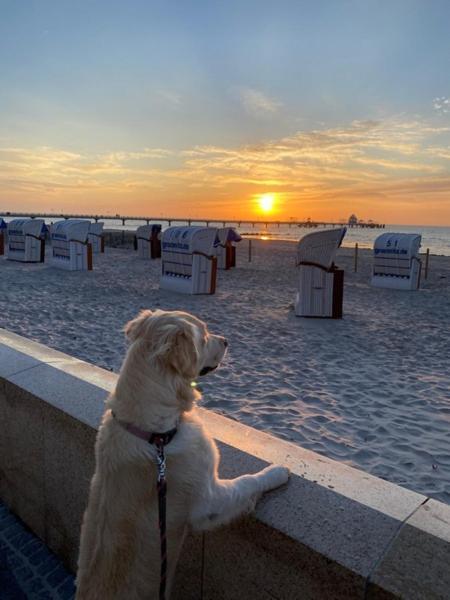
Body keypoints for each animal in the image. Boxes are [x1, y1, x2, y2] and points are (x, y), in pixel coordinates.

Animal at [76, 312, 290, 596]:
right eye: (205, 335)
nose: (226, 340)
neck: (153, 433)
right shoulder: (207, 501)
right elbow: (247, 481)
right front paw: (277, 472)